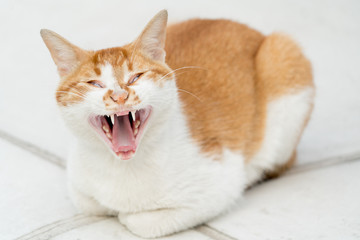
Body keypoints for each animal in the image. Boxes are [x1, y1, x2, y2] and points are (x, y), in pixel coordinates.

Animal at [40, 8, 314, 238]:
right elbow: (91, 203)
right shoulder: (78, 185)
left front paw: (126, 215)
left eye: (136, 77)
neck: (122, 167)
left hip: (284, 59)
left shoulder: (220, 184)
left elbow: (139, 221)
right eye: (94, 84)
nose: (119, 96)